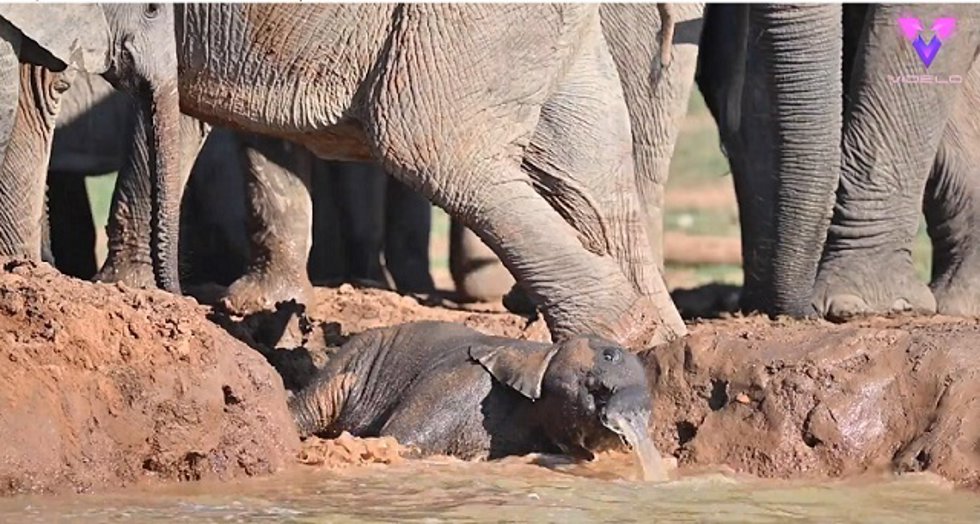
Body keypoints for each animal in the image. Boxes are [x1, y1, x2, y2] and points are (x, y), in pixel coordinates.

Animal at [108, 3, 684, 349]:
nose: (182, 297)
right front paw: (131, 292)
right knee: (595, 177)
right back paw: (657, 358)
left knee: (430, 150)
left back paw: (618, 341)